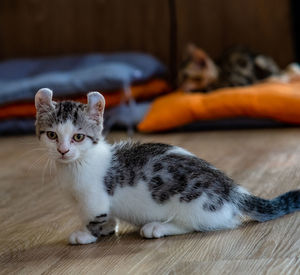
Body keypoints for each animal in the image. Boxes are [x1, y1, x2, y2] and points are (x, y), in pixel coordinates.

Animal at [35, 89, 300, 246]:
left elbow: (94, 218)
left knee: (203, 224)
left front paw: (87, 235)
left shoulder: (94, 200)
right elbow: (108, 217)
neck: (74, 167)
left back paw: (157, 227)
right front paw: (110, 228)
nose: (63, 150)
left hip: (194, 204)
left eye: (78, 137)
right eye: (52, 135)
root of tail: (232, 189)